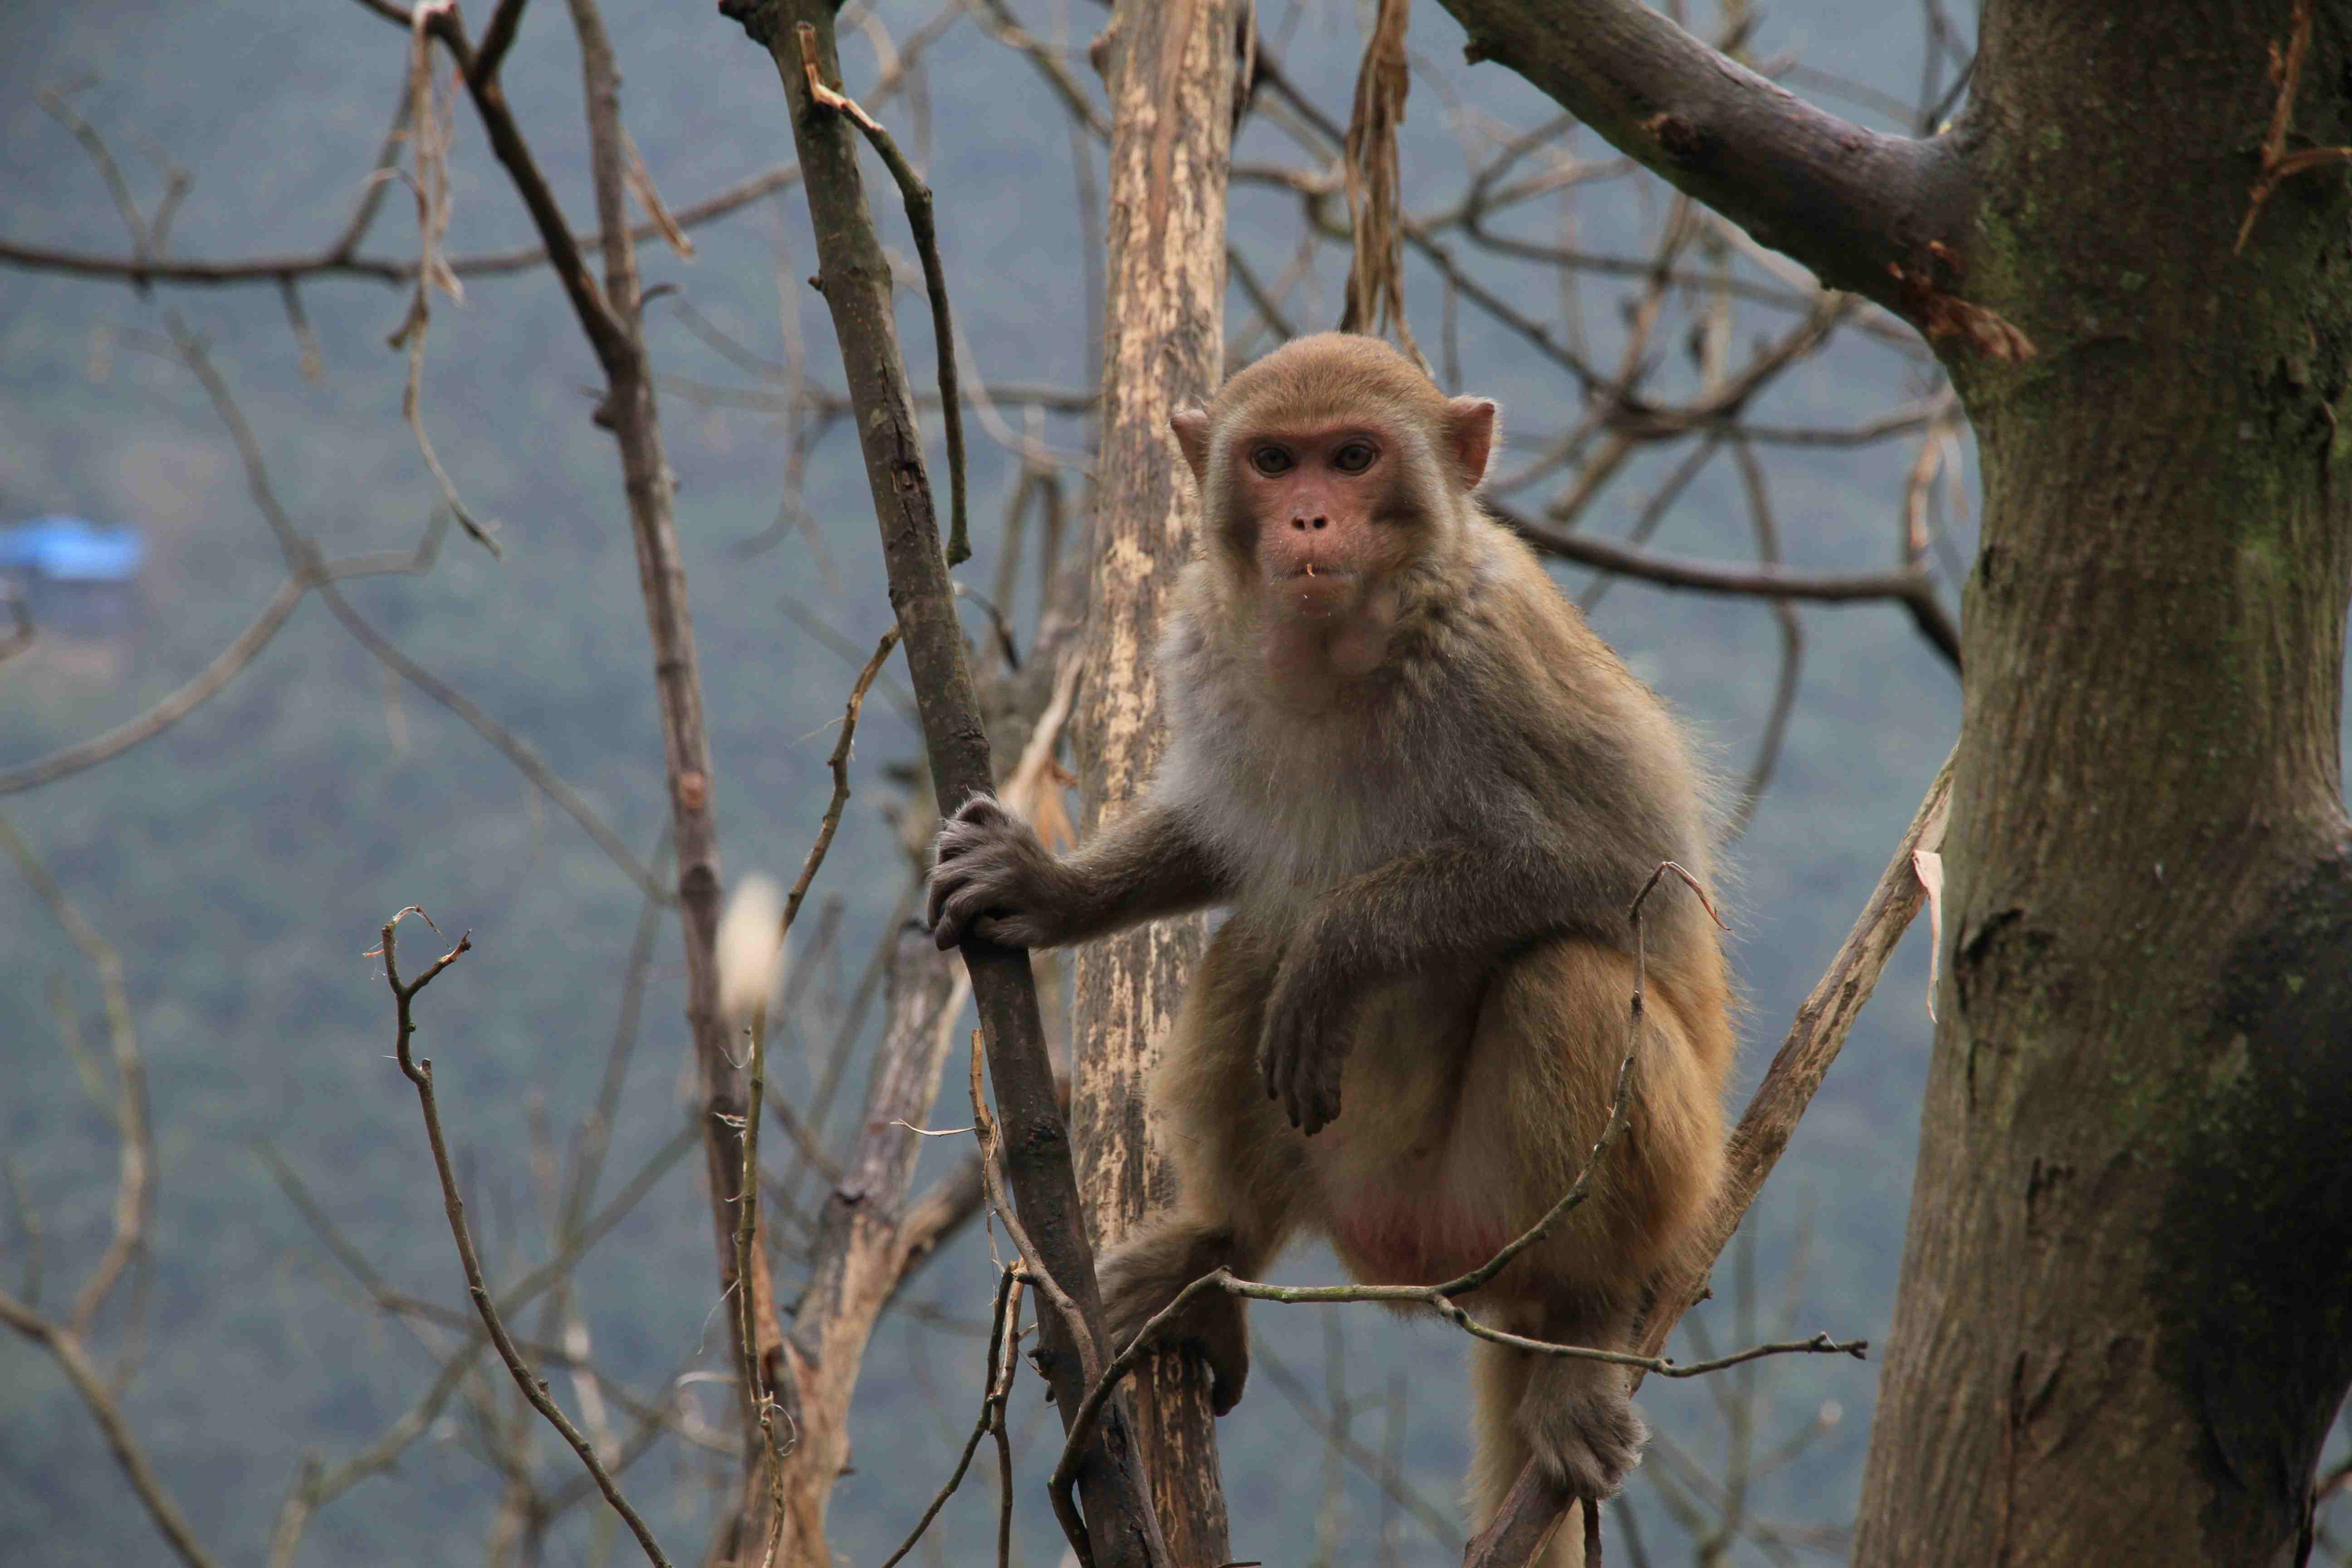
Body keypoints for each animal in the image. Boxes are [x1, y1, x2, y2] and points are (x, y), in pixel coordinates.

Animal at [926, 331, 1740, 1561]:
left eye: (1354, 458)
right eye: (1275, 461)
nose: (1309, 518)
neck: (1351, 650)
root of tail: (1438, 1269)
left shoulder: (1503, 660)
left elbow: (1612, 868)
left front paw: (1344, 946)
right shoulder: (1204, 643)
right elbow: (1219, 843)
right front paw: (1051, 889)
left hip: (1588, 1201)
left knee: (1565, 976)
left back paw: (1584, 1324)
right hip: (1357, 1182)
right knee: (1254, 939)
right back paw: (1217, 1254)